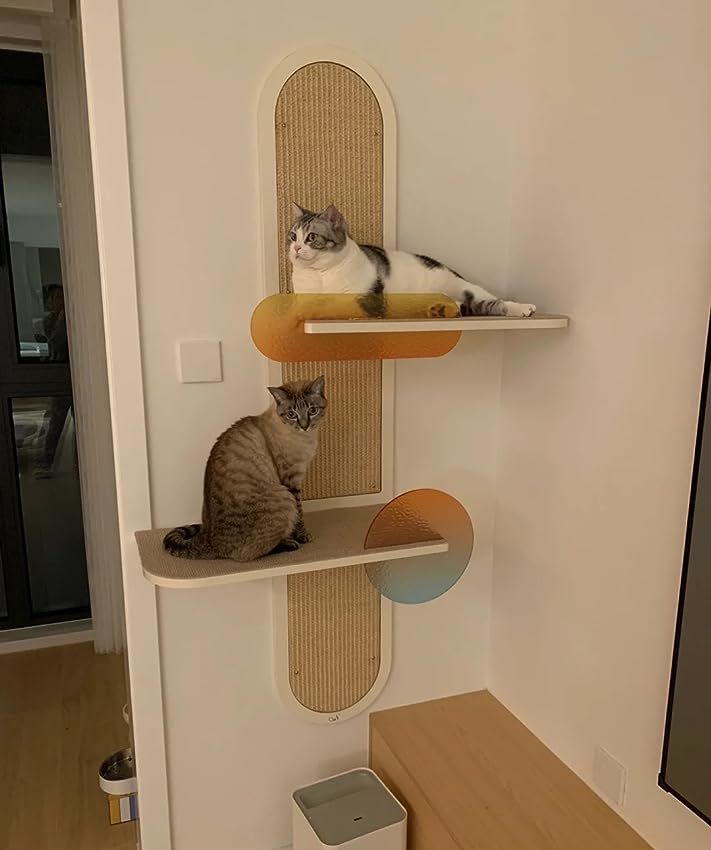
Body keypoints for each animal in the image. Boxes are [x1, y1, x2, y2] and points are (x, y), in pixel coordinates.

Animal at [163, 374, 326, 560]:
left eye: (312, 410)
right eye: (292, 414)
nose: (304, 426)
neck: (306, 437)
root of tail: (209, 540)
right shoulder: (291, 482)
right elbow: (299, 514)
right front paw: (302, 535)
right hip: (283, 496)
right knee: (247, 554)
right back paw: (289, 544)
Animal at [286, 203, 536, 318]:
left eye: (311, 237)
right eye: (292, 236)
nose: (295, 248)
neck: (320, 275)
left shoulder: (367, 302)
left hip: (467, 288)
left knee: (494, 302)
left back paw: (524, 308)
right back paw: (440, 309)